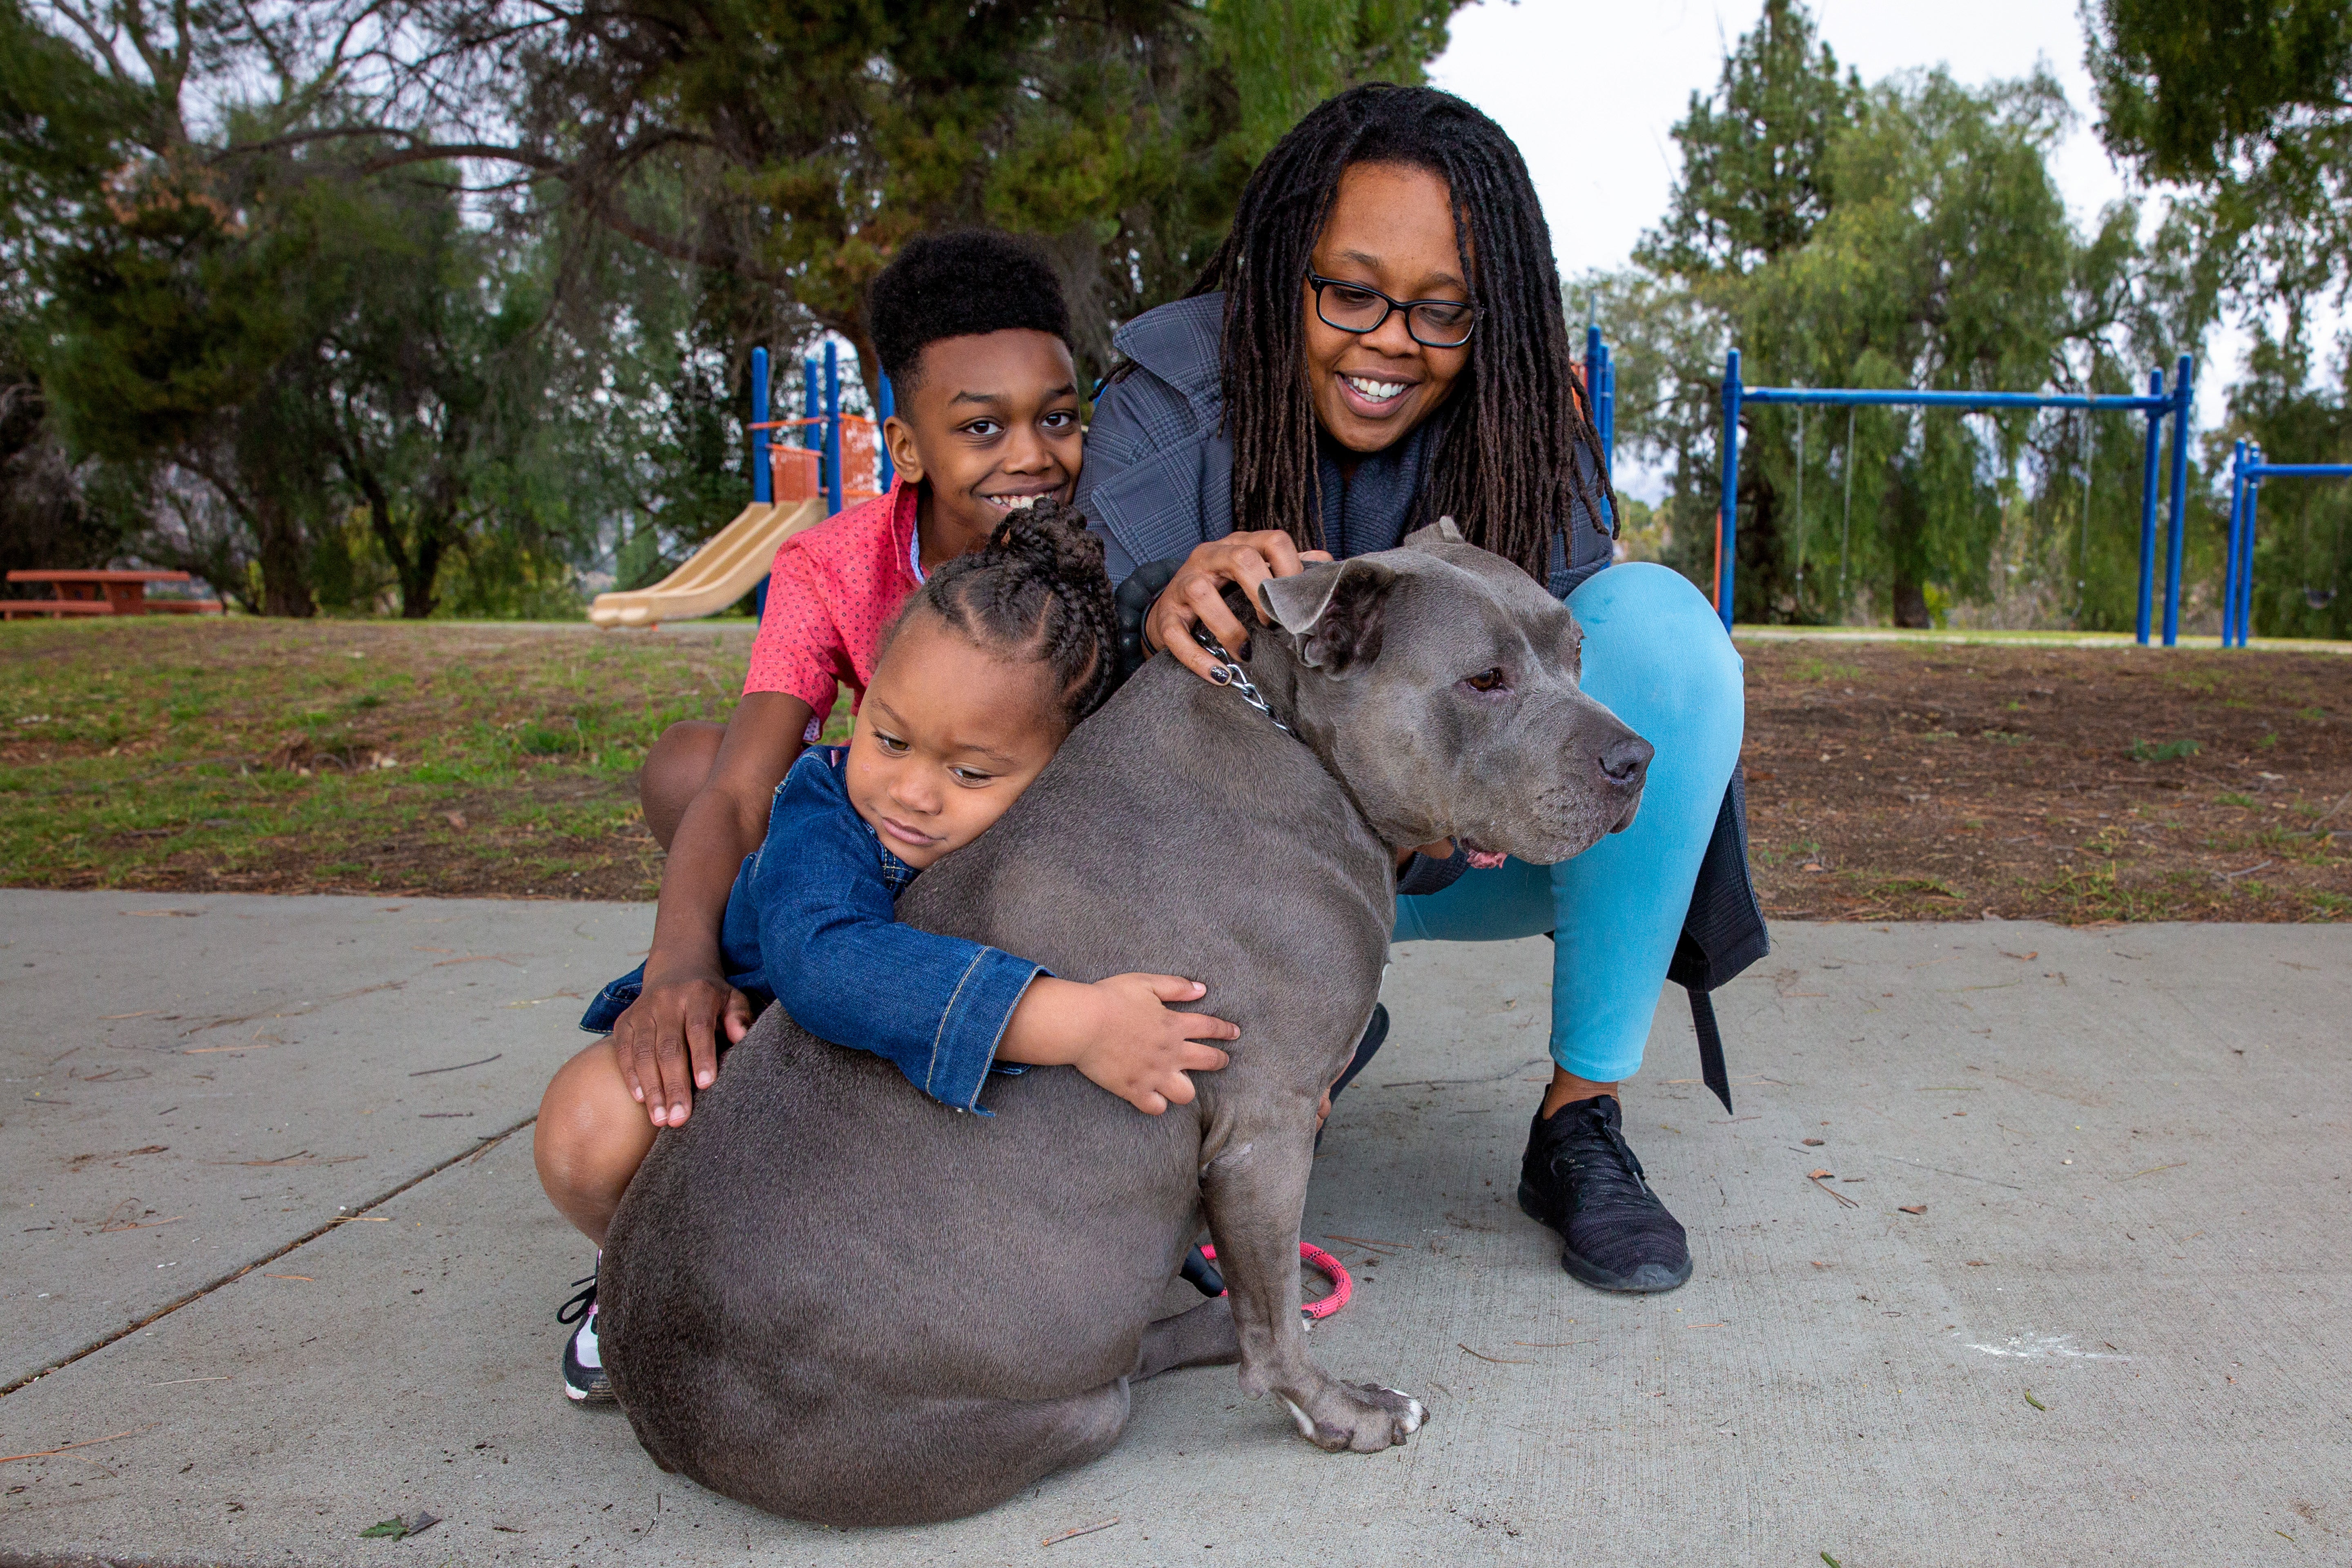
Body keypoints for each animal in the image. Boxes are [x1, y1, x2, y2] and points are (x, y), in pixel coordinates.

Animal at [597, 522, 1646, 1523]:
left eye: (1576, 651)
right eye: (1483, 681)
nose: (1636, 759)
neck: (1285, 728)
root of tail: (654, 1412)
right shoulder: (1264, 1126)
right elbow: (1273, 1329)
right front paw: (1340, 1414)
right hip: (1052, 1413)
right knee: (1123, 1375)